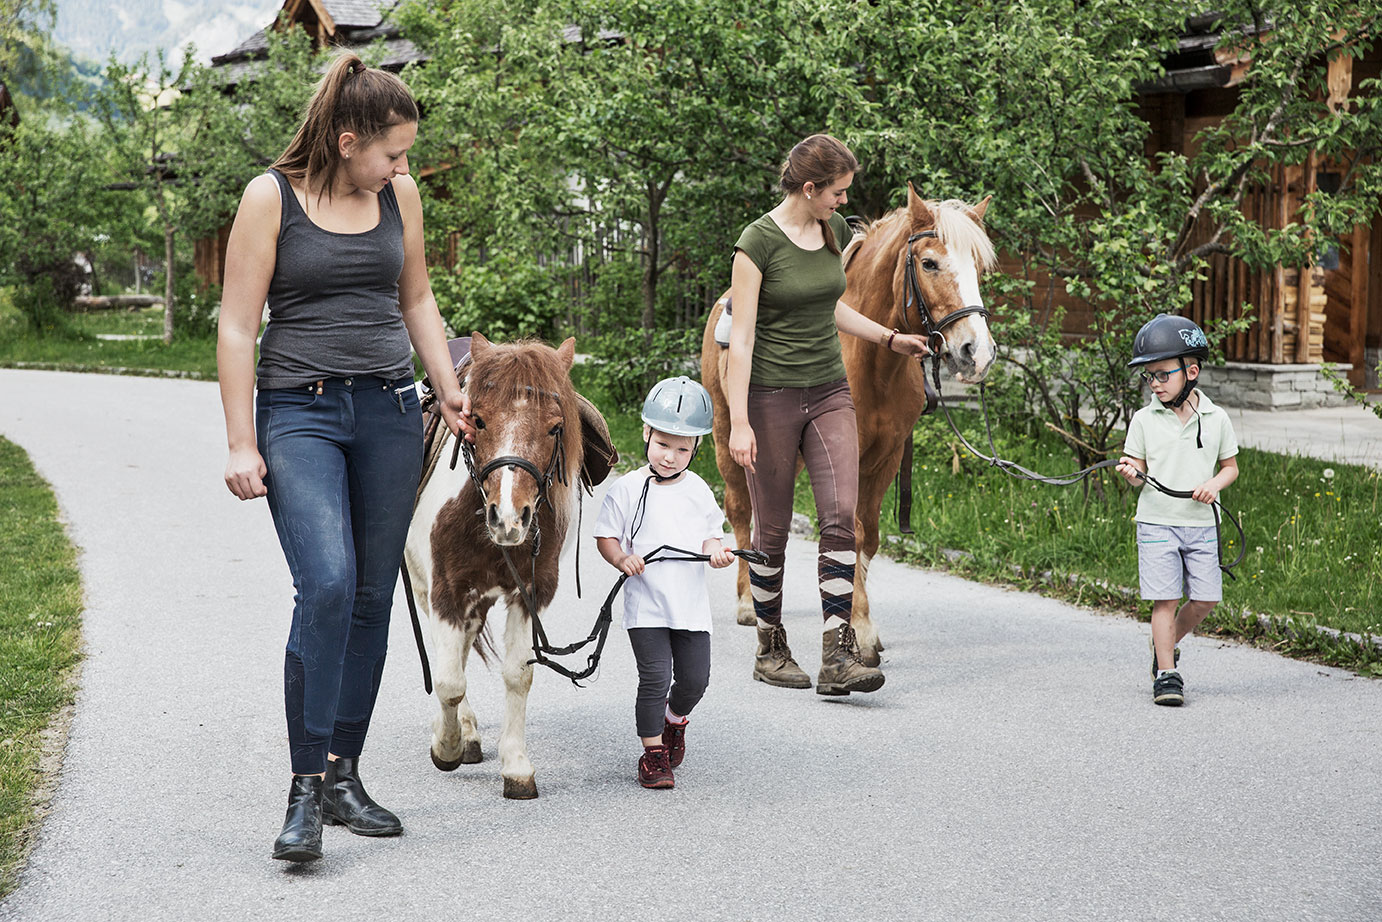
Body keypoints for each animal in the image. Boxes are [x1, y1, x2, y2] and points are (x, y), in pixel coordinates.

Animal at [403, 331, 588, 801]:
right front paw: (448, 745)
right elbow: (449, 682)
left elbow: (518, 675)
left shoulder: (531, 593)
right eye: (478, 421)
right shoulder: (447, 592)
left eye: (555, 427)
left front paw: (517, 766)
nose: (508, 517)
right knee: (449, 660)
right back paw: (463, 733)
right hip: (424, 588)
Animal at [707, 183, 1000, 666]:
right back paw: (749, 602)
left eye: (978, 266)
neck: (871, 361)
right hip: (727, 436)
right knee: (741, 510)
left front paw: (858, 624)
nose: (976, 353)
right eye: (929, 263)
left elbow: (868, 535)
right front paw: (858, 632)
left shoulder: (887, 456)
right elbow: (852, 531)